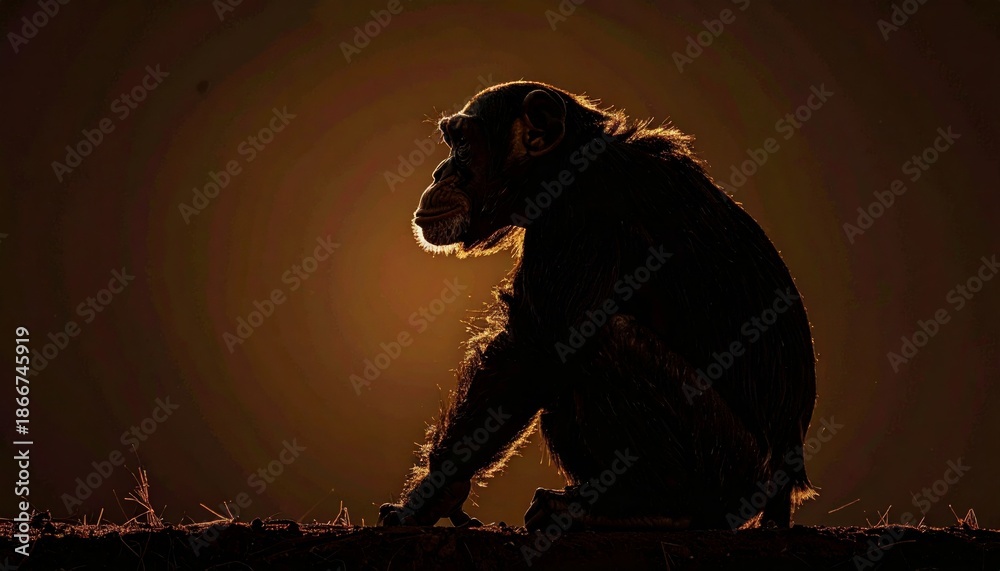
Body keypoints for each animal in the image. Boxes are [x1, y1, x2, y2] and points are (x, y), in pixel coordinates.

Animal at [377, 80, 817, 531]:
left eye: (463, 144)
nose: (440, 172)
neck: (558, 166)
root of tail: (783, 491)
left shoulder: (580, 212)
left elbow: (531, 349)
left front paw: (433, 492)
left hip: (732, 468)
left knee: (605, 339)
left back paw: (659, 507)